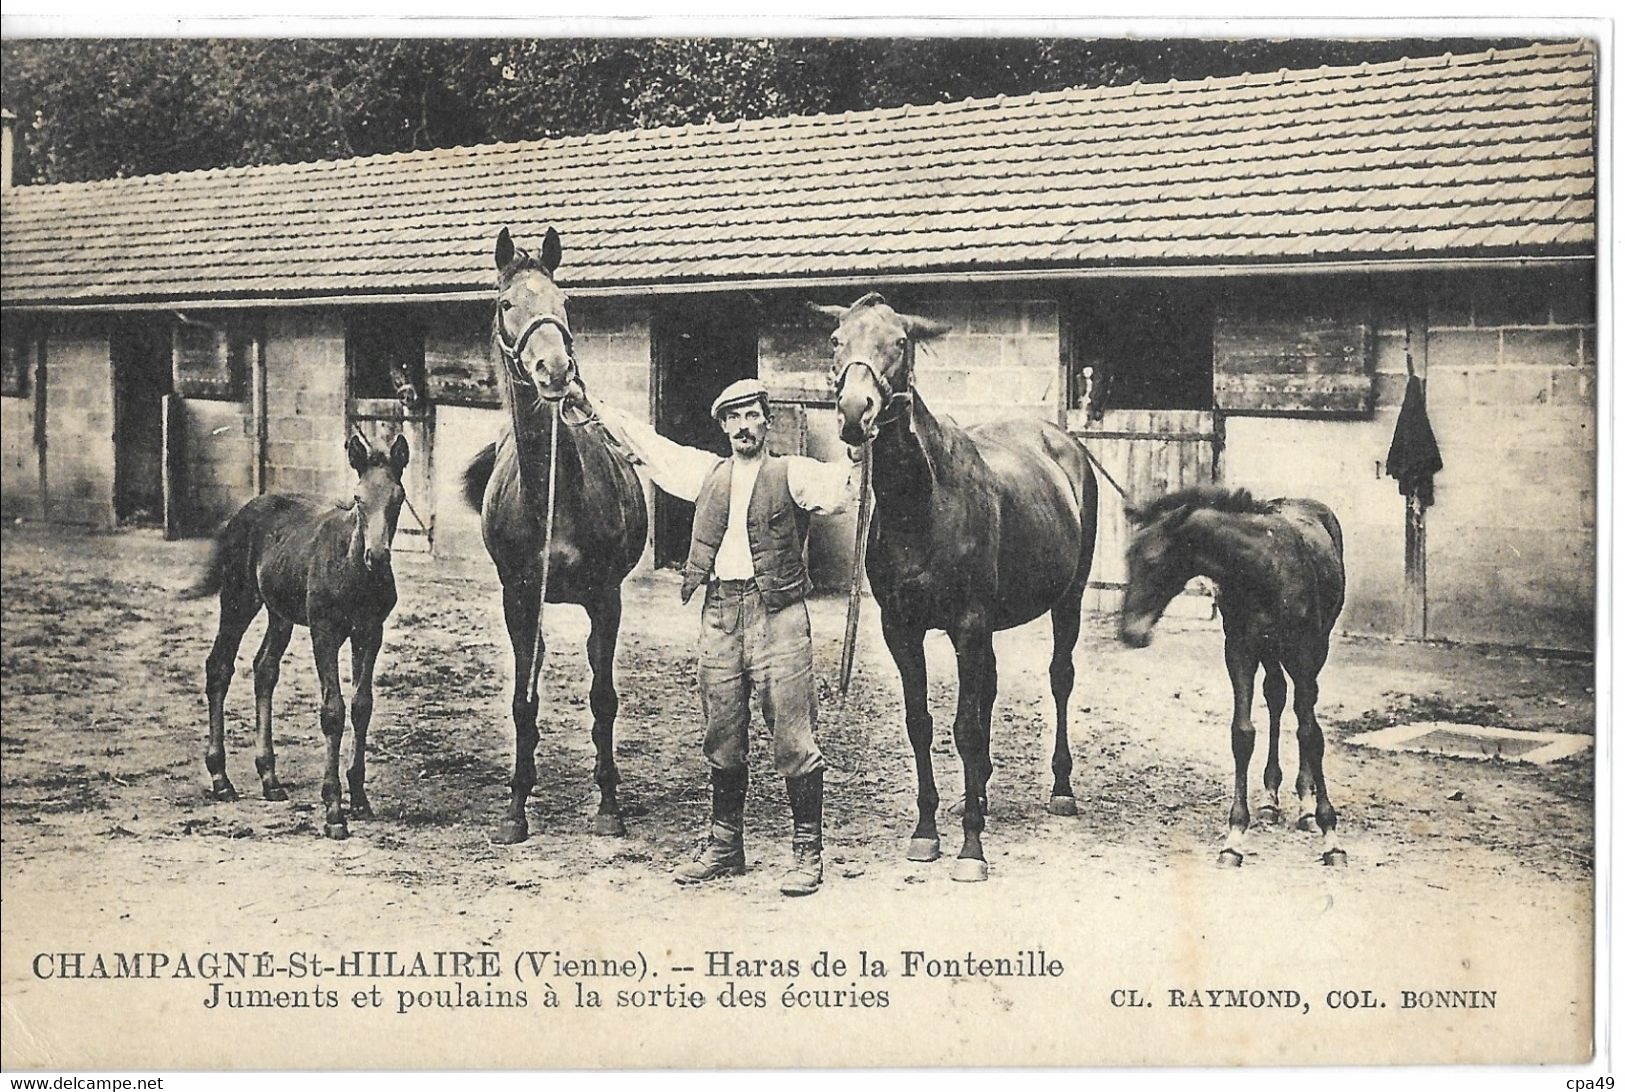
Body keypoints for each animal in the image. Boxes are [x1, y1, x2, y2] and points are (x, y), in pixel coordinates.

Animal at [190, 425, 409, 838]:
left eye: (398, 496)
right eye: (358, 498)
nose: (377, 557)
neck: (352, 568)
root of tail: (243, 512)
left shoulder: (369, 632)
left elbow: (362, 706)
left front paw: (359, 798)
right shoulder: (324, 631)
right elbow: (333, 710)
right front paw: (334, 811)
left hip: (280, 613)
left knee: (264, 668)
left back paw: (270, 779)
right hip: (239, 598)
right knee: (219, 666)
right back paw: (221, 779)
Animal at [458, 227, 646, 845]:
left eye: (564, 301)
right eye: (505, 304)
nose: (555, 371)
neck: (553, 494)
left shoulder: (606, 598)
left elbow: (604, 698)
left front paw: (609, 805)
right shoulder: (517, 597)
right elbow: (522, 702)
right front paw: (516, 806)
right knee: (533, 667)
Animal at [819, 294, 1098, 884]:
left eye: (900, 341)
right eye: (836, 339)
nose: (855, 413)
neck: (922, 504)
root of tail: (1064, 443)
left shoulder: (967, 626)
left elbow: (965, 728)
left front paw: (971, 850)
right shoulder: (903, 629)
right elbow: (920, 723)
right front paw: (926, 832)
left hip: (1069, 601)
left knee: (1060, 679)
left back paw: (1060, 788)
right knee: (989, 689)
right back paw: (984, 796)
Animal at [1118, 490, 1345, 864]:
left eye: (1152, 561)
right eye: (1127, 558)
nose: (1130, 633)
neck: (1262, 569)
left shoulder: (1303, 651)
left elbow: (1311, 733)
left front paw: (1331, 836)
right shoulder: (1240, 650)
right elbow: (1242, 734)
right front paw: (1234, 836)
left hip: (1316, 649)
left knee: (1302, 709)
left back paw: (1305, 805)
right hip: (1270, 653)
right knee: (1276, 695)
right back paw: (1270, 799)